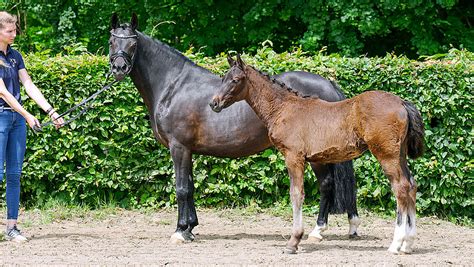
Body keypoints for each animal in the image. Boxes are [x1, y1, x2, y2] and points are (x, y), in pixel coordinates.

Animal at [209, 55, 424, 256]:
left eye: (236, 80)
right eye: (223, 78)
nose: (214, 103)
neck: (284, 108)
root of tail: (402, 103)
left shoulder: (294, 157)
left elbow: (296, 194)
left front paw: (293, 241)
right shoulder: (314, 159)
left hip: (387, 155)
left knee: (400, 188)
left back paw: (396, 244)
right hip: (400, 154)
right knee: (411, 185)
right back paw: (408, 244)